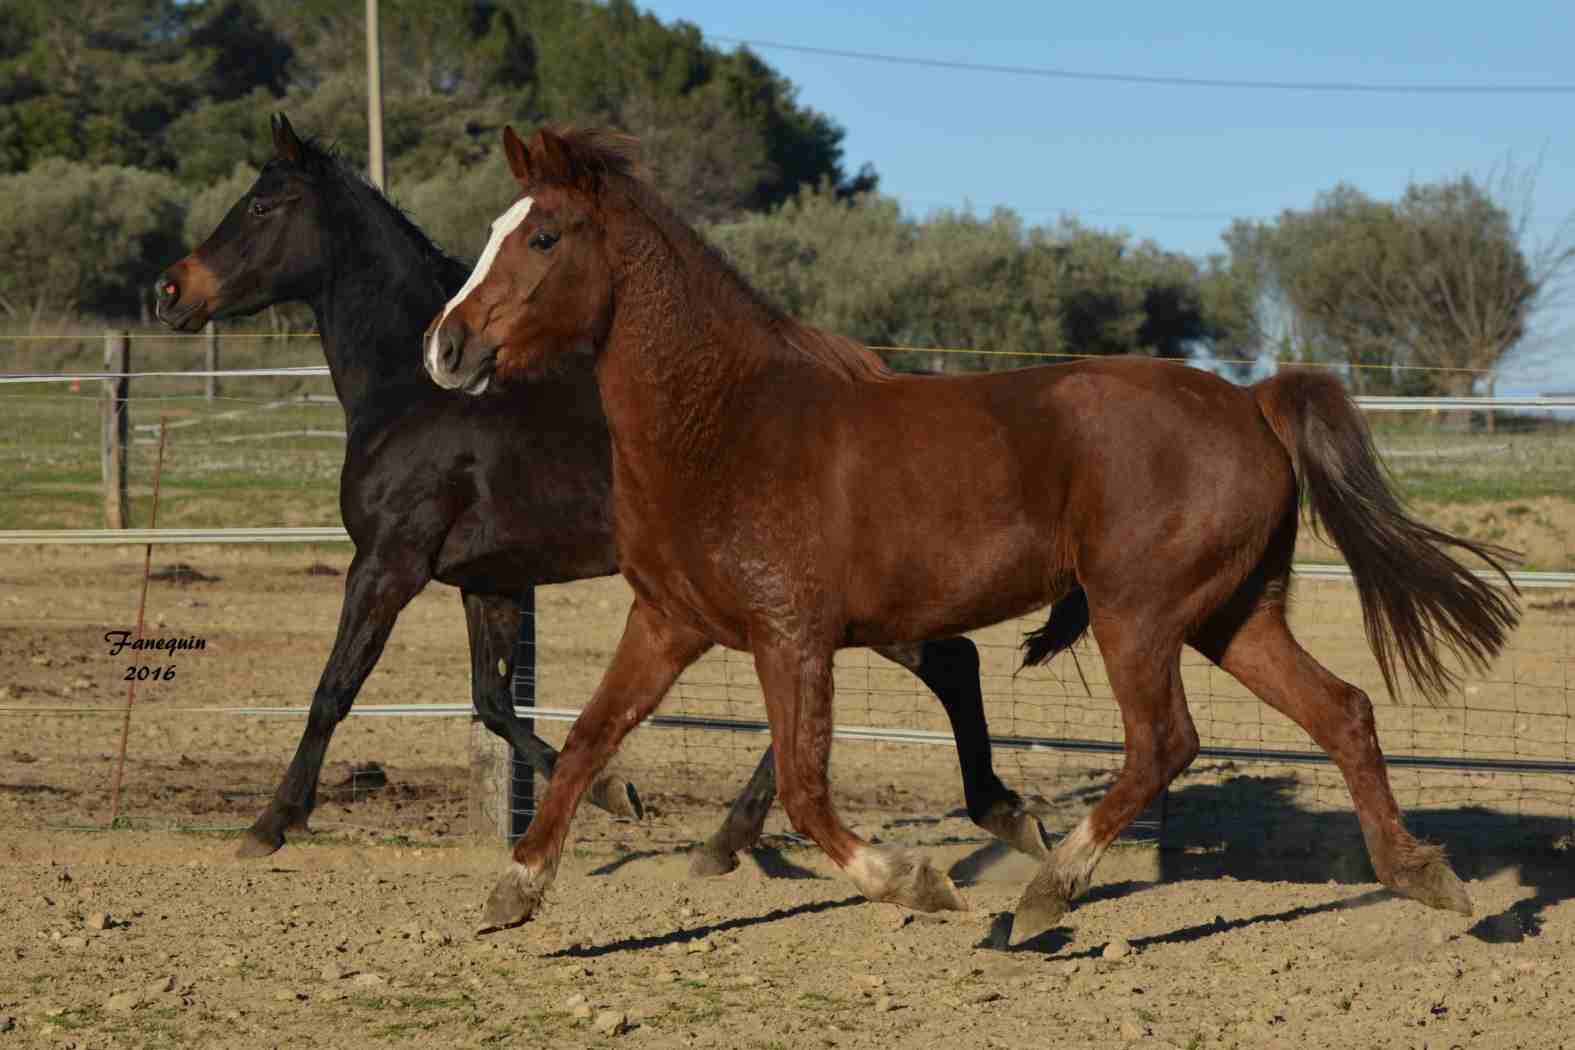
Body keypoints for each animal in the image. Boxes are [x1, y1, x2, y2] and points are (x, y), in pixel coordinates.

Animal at [153, 113, 1058, 868]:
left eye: (264, 204)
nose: (171, 291)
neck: (413, 397)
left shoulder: (388, 564)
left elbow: (334, 690)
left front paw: (270, 823)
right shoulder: (488, 582)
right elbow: (492, 703)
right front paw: (617, 797)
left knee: (926, 668)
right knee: (913, 671)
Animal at [425, 127, 1518, 950]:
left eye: (544, 237)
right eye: (497, 230)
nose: (446, 346)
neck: (725, 425)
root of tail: (1252, 402)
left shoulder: (792, 637)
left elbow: (806, 789)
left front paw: (919, 883)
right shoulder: (667, 623)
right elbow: (586, 740)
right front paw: (514, 893)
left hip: (1139, 613)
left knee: (1165, 742)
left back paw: (1040, 901)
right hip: (1233, 616)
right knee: (1343, 712)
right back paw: (1425, 878)